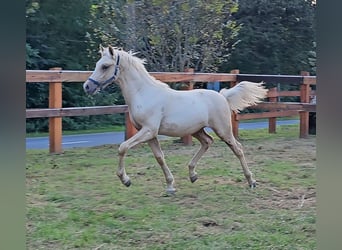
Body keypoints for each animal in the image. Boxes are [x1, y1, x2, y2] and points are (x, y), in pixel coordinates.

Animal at [83, 45, 268, 193]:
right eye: (97, 65)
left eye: (105, 66)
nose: (87, 86)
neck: (144, 93)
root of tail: (223, 96)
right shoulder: (150, 134)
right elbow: (159, 157)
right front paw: (170, 186)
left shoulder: (148, 130)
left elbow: (123, 147)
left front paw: (125, 180)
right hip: (197, 130)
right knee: (207, 142)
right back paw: (192, 174)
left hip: (223, 130)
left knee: (237, 148)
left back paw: (251, 181)